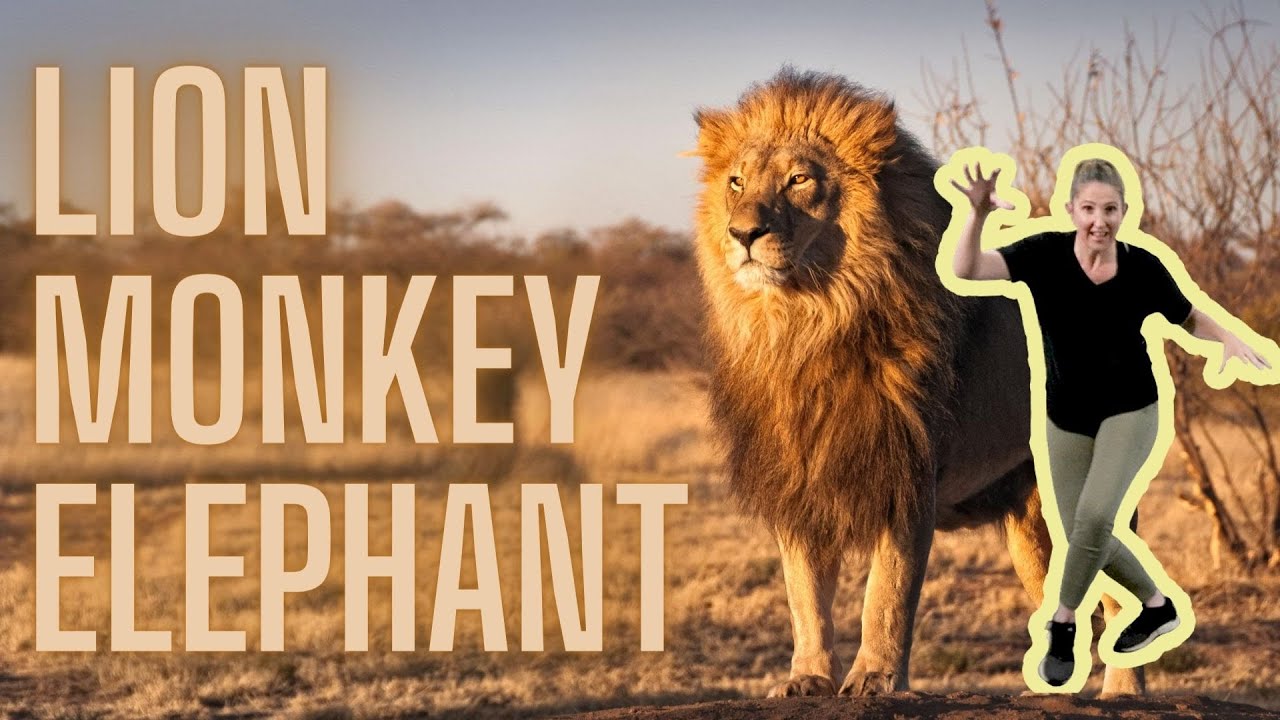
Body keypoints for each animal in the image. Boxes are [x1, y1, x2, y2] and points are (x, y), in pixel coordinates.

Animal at [691, 69, 1145, 697]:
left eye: (799, 179)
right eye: (736, 182)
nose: (742, 233)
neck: (806, 326)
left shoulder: (907, 471)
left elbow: (887, 593)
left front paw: (875, 678)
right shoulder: (798, 478)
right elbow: (804, 594)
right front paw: (808, 678)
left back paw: (1123, 691)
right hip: (1032, 523)